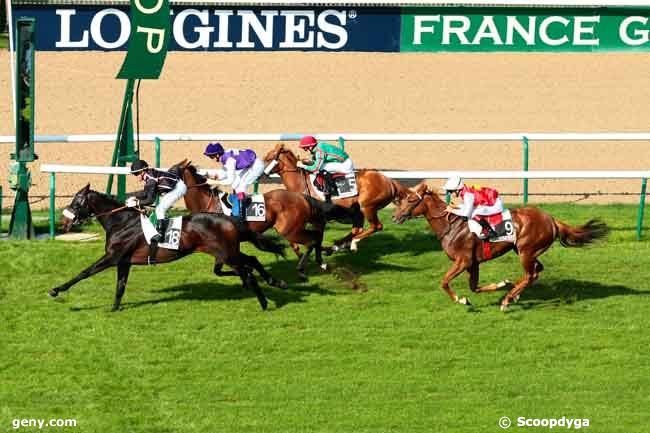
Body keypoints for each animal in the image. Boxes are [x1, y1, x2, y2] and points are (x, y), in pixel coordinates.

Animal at [48, 185, 286, 310]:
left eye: (77, 202)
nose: (64, 222)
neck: (121, 222)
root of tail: (229, 219)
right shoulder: (124, 261)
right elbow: (120, 286)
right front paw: (115, 308)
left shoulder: (112, 257)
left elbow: (84, 273)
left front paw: (56, 289)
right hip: (229, 251)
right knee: (252, 261)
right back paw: (276, 283)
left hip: (227, 254)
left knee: (248, 268)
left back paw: (264, 301)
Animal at [167, 159, 360, 280]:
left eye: (171, 173)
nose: (158, 190)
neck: (210, 205)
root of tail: (301, 197)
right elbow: (220, 269)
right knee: (316, 236)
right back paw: (322, 262)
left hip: (289, 230)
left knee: (312, 239)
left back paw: (303, 269)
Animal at [260, 143, 404, 250]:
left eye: (268, 158)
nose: (259, 172)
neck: (300, 182)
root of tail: (390, 181)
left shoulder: (318, 219)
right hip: (357, 210)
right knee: (357, 229)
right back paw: (338, 245)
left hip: (368, 206)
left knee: (376, 227)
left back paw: (351, 243)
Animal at [390, 181, 608, 310]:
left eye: (411, 199)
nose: (395, 216)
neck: (451, 226)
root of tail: (552, 220)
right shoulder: (473, 263)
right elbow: (474, 287)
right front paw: (501, 284)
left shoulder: (463, 260)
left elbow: (444, 282)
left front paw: (461, 300)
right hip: (526, 251)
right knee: (537, 271)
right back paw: (514, 295)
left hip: (526, 251)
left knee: (531, 274)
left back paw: (507, 300)